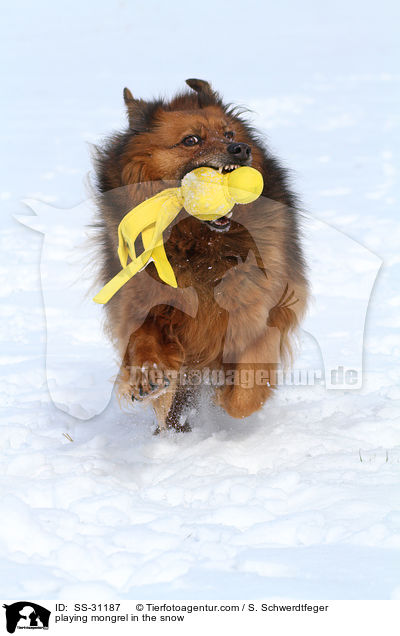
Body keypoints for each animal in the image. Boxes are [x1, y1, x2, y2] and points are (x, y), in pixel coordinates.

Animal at [94, 77, 310, 430]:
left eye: (229, 134)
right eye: (190, 140)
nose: (241, 149)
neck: (198, 242)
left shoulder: (260, 306)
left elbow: (250, 373)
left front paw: (235, 401)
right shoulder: (140, 299)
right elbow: (143, 340)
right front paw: (148, 377)